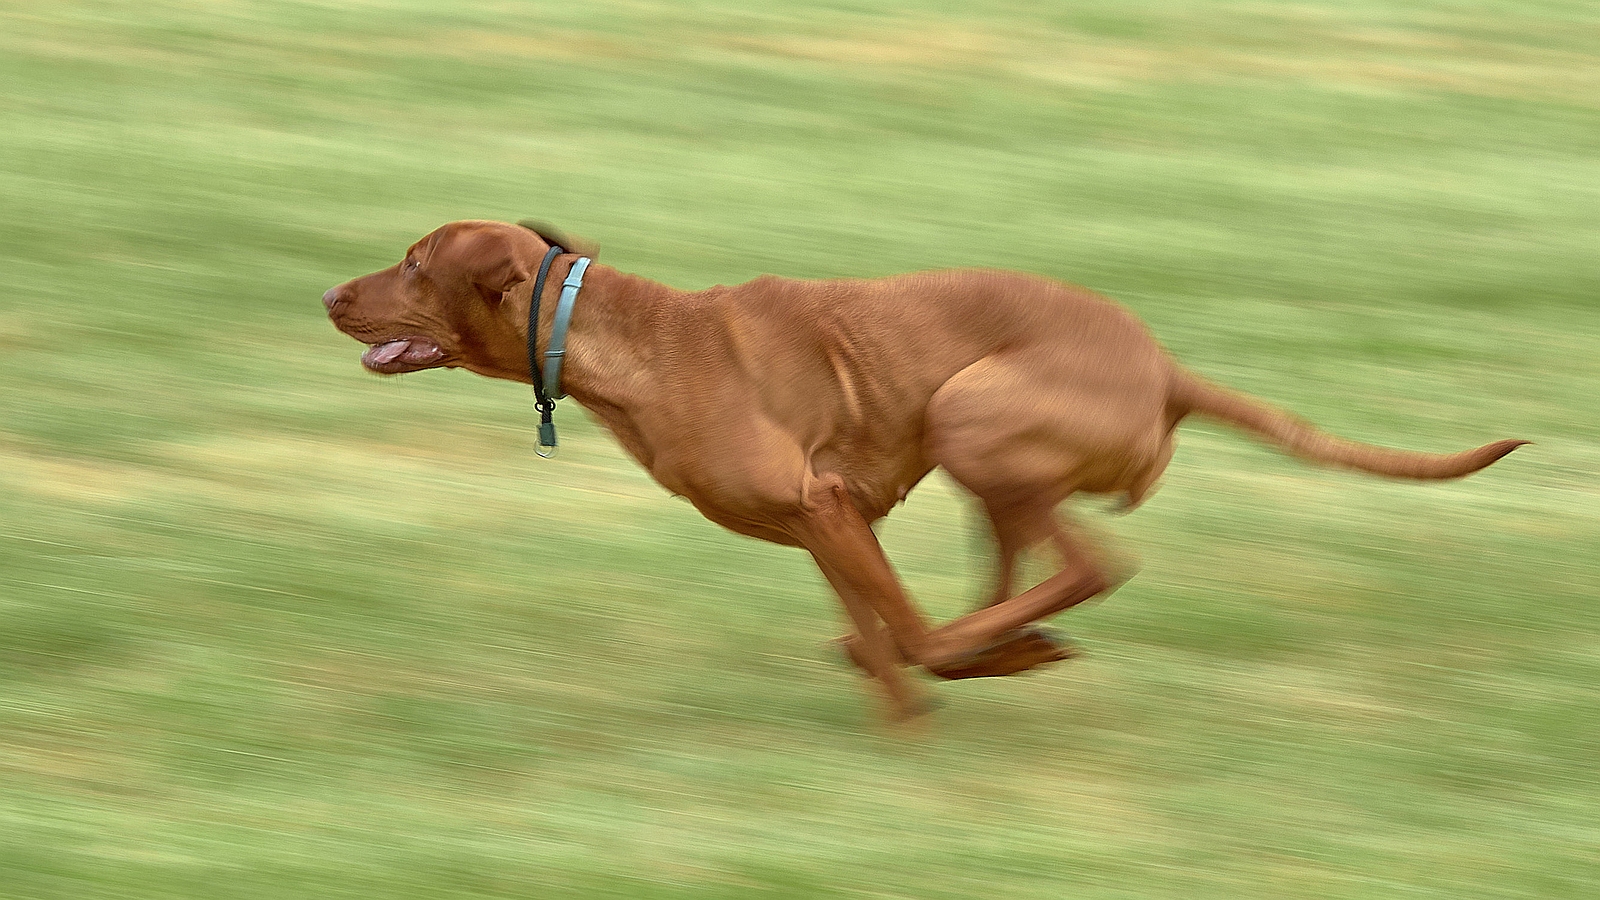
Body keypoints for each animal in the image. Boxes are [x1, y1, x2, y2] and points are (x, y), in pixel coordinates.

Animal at [321, 220, 1523, 717]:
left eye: (414, 262)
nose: (327, 294)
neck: (623, 340)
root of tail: (1164, 368)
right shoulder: (827, 519)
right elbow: (887, 648)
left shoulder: (822, 504)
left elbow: (904, 639)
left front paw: (926, 679)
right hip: (979, 468)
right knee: (1009, 583)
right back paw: (1001, 647)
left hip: (972, 418)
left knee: (1087, 567)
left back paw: (1009, 646)